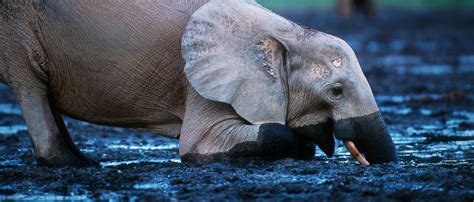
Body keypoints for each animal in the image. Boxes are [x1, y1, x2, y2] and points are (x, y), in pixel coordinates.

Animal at [0, 0, 396, 167]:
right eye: (335, 92)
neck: (284, 31)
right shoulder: (200, 83)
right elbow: (202, 144)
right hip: (15, 29)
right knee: (29, 83)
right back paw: (69, 164)